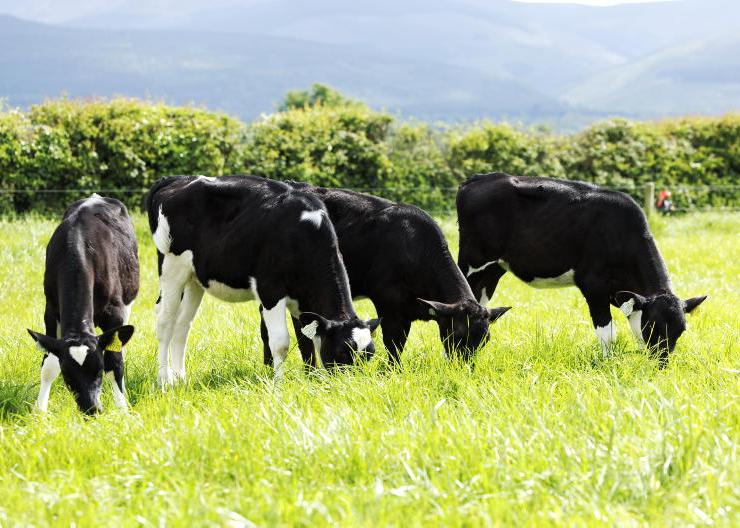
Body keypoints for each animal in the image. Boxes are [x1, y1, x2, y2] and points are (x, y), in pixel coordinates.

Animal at [27, 194, 138, 414]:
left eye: (98, 371)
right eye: (68, 375)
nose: (91, 408)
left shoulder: (115, 313)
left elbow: (115, 362)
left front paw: (123, 410)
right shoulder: (50, 311)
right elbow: (49, 364)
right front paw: (40, 411)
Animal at [146, 175, 379, 384]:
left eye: (369, 355)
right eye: (342, 352)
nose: (352, 385)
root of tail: (177, 179)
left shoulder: (302, 301)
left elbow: (306, 340)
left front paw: (311, 378)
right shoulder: (270, 290)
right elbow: (281, 342)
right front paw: (278, 384)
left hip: (194, 279)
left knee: (183, 324)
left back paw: (180, 378)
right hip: (172, 267)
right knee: (165, 321)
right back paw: (164, 380)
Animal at [457, 173, 706, 366]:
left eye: (681, 330)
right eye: (653, 326)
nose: (661, 363)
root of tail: (478, 179)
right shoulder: (594, 287)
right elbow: (607, 333)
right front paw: (608, 364)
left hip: (493, 269)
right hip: (472, 263)